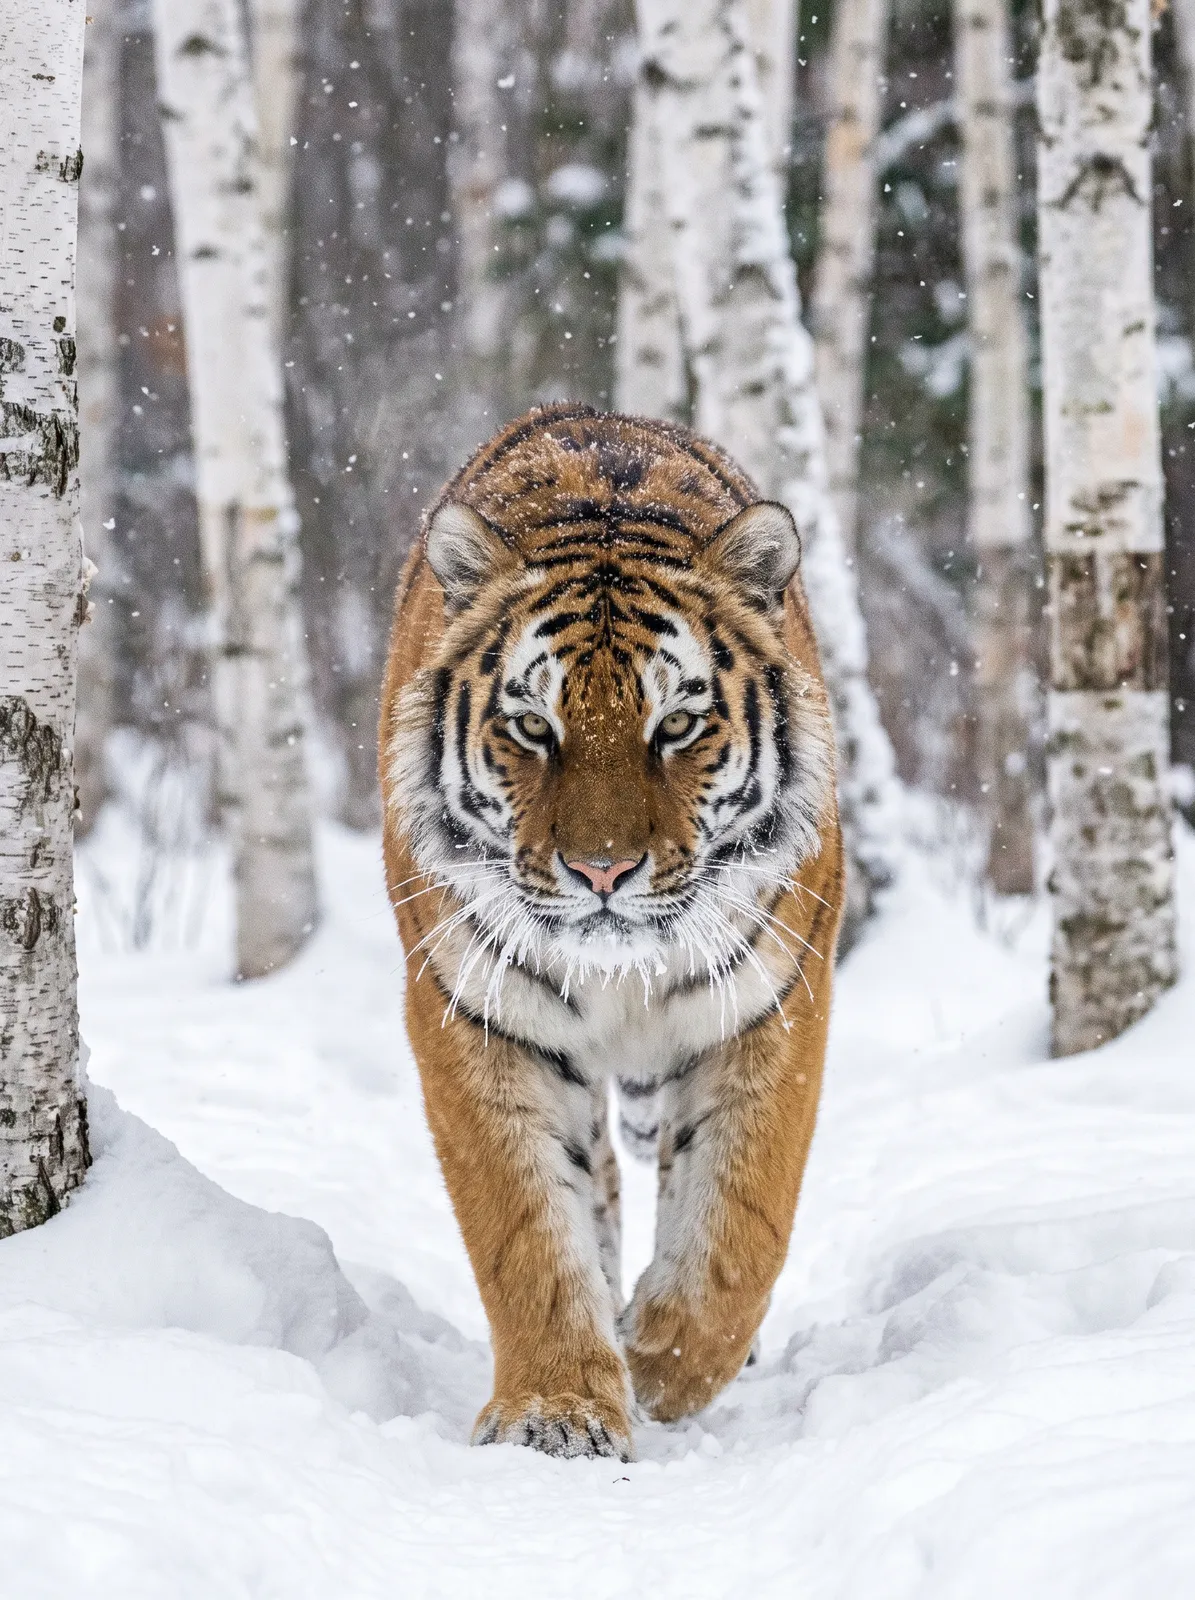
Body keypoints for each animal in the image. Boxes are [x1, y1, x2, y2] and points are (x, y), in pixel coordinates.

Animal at [379, 404, 844, 1461]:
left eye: (675, 726)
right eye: (532, 727)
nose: (600, 872)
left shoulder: (770, 1007)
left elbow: (737, 1228)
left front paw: (662, 1366)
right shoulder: (475, 1014)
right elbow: (525, 1232)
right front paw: (557, 1409)